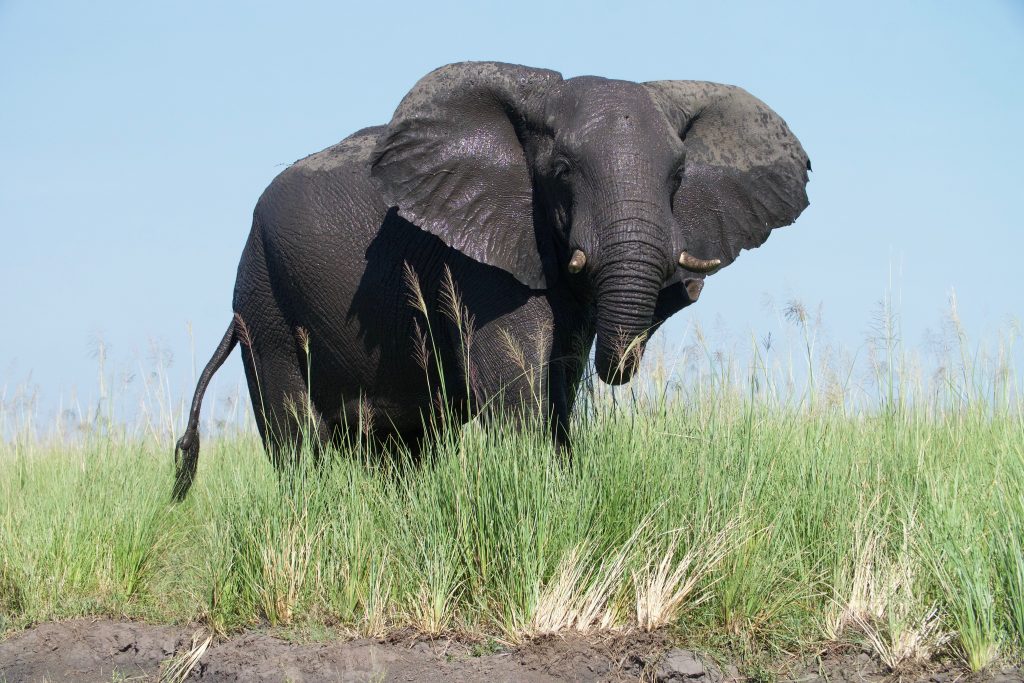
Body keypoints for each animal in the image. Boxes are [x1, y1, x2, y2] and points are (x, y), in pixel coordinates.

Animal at [169, 61, 806, 499]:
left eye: (678, 176)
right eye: (562, 171)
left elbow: (558, 388)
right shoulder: (479, 262)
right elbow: (516, 386)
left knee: (406, 442)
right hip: (262, 295)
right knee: (295, 433)